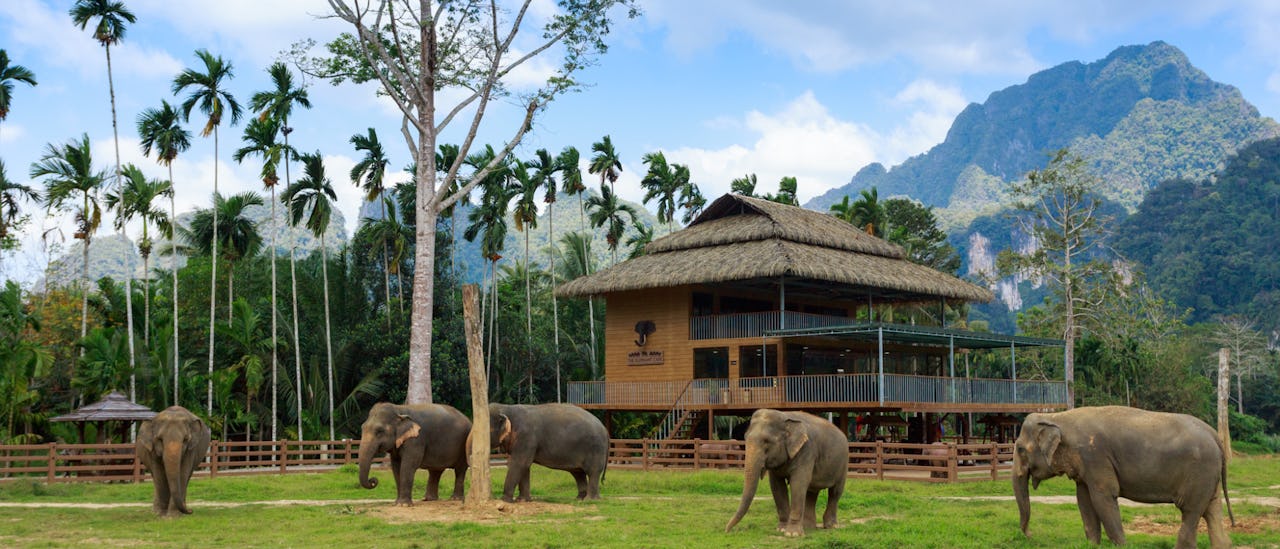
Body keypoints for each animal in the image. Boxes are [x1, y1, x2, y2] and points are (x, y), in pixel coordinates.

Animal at [725, 408, 849, 537]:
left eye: (767, 441)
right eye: (745, 438)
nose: (726, 531)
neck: (785, 416)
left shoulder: (807, 451)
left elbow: (798, 484)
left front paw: (792, 534)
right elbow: (777, 486)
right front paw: (782, 529)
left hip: (843, 464)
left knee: (835, 492)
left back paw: (831, 526)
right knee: (812, 492)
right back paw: (808, 527)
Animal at [1014, 406, 1234, 548]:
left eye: (1020, 449)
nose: (1031, 536)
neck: (1058, 417)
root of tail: (1214, 435)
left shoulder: (1095, 456)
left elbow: (1103, 497)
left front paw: (1121, 545)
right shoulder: (1085, 467)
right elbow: (1084, 500)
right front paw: (1093, 545)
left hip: (1200, 472)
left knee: (1191, 511)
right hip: (1208, 475)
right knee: (1212, 509)